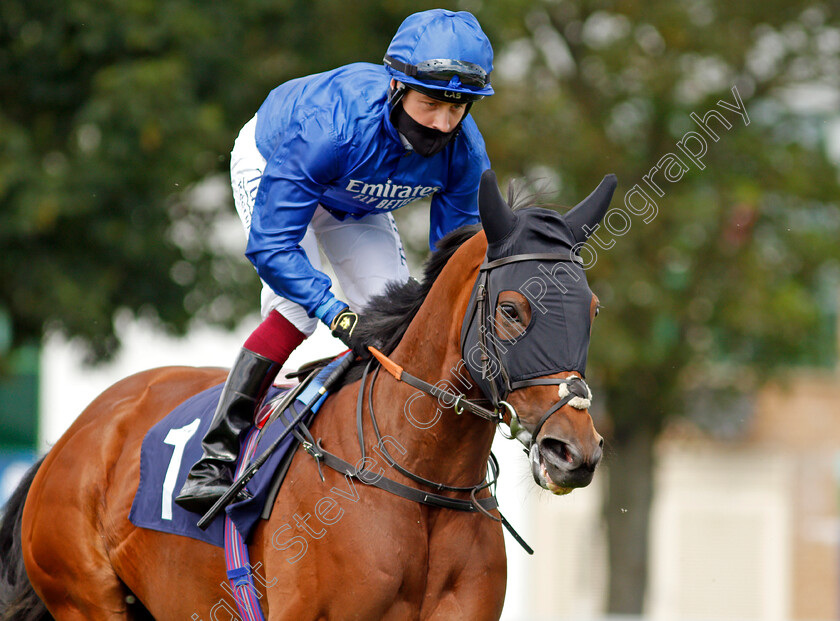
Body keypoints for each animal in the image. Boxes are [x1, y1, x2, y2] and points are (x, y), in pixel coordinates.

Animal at [0, 171, 616, 620]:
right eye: (512, 309)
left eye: (592, 310)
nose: (573, 451)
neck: (417, 480)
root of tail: (76, 434)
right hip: (84, 598)